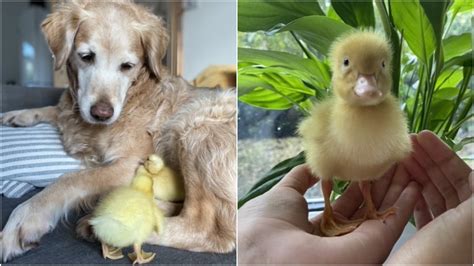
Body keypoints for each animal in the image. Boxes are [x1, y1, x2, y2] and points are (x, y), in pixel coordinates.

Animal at [0, 0, 236, 262]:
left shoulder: (131, 164)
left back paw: (110, 225)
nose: (102, 113)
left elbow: (71, 179)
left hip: (196, 122)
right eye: (86, 57)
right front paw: (18, 115)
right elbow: (56, 108)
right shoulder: (72, 111)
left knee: (206, 228)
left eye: (127, 66)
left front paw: (26, 216)